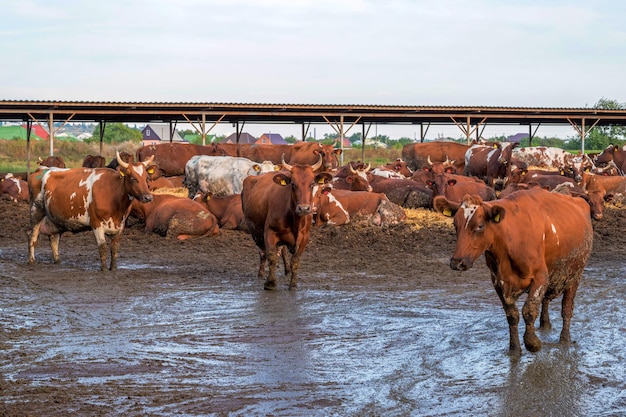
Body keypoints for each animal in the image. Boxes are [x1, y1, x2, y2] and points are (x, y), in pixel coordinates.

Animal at [241, 155, 334, 290]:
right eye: (293, 184)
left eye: (312, 184)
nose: (304, 208)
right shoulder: (269, 232)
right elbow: (272, 257)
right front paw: (270, 283)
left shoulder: (304, 237)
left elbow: (295, 260)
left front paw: (293, 284)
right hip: (256, 232)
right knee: (262, 253)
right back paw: (261, 274)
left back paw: (287, 271)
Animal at [432, 187, 592, 352]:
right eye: (455, 224)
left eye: (480, 226)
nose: (457, 262)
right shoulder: (498, 281)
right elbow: (512, 315)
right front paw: (514, 347)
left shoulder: (540, 277)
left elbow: (529, 310)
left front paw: (532, 342)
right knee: (546, 300)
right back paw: (545, 324)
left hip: (575, 275)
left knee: (566, 308)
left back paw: (565, 338)